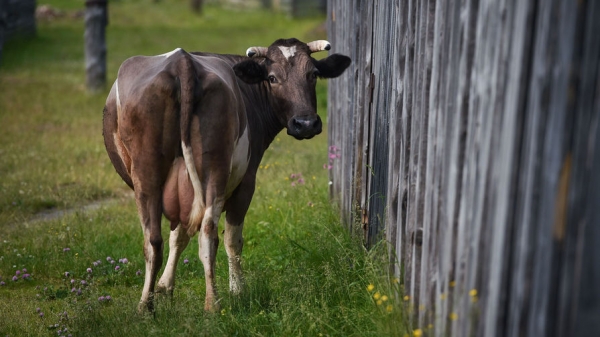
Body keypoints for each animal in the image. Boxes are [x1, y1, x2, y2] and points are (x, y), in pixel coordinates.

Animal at [102, 38, 352, 312]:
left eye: (313, 74)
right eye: (272, 78)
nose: (305, 124)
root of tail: (182, 61)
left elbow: (178, 236)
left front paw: (165, 287)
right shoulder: (247, 181)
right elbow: (232, 239)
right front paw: (237, 291)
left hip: (148, 175)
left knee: (154, 240)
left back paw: (146, 307)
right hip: (214, 169)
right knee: (209, 234)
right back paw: (213, 303)